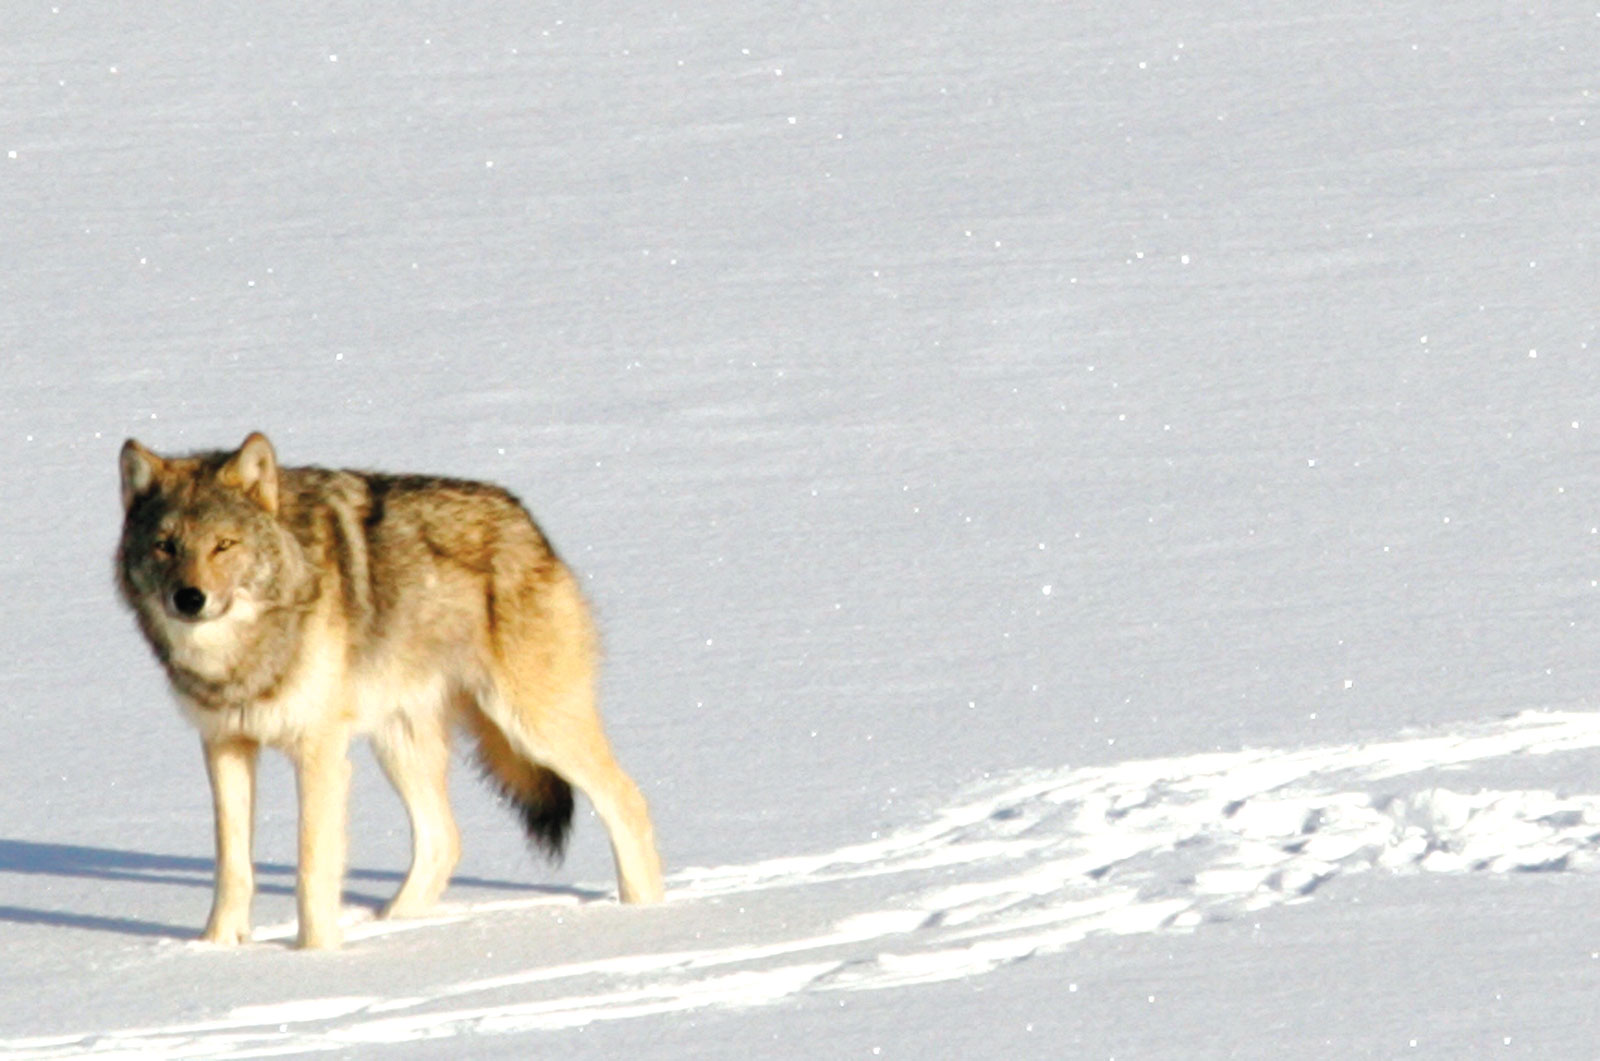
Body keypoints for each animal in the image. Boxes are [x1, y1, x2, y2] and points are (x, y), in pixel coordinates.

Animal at [115, 432, 664, 949]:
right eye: (165, 545)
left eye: (224, 545)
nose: (189, 598)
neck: (239, 657)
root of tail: (527, 521)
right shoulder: (225, 745)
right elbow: (231, 866)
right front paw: (217, 947)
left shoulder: (319, 752)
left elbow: (312, 865)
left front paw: (315, 954)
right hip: (400, 743)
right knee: (444, 839)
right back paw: (395, 923)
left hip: (533, 726)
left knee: (628, 800)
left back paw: (645, 913)